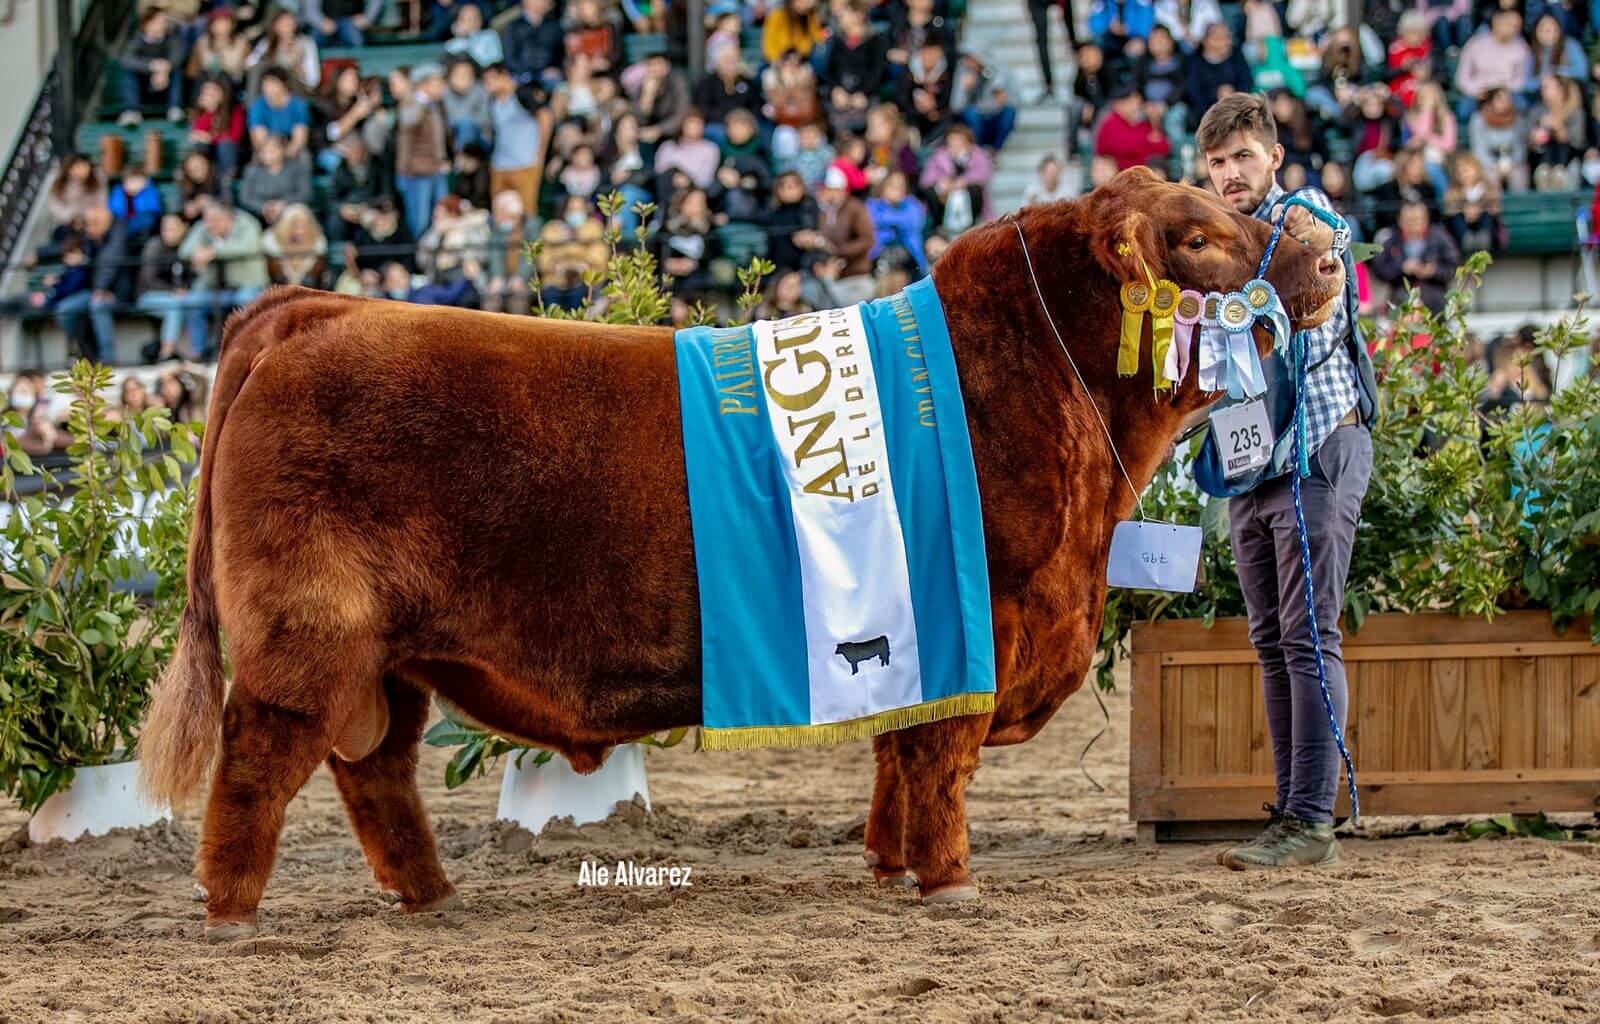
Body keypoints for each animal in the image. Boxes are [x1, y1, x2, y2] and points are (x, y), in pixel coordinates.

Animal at [137, 166, 1344, 934]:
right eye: (1197, 235)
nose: (1330, 253)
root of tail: (308, 308)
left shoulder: (919, 632)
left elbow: (896, 756)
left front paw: (890, 865)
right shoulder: (983, 619)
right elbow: (939, 758)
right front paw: (950, 880)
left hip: (387, 656)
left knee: (373, 769)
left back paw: (428, 896)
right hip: (309, 631)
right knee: (259, 760)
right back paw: (229, 912)